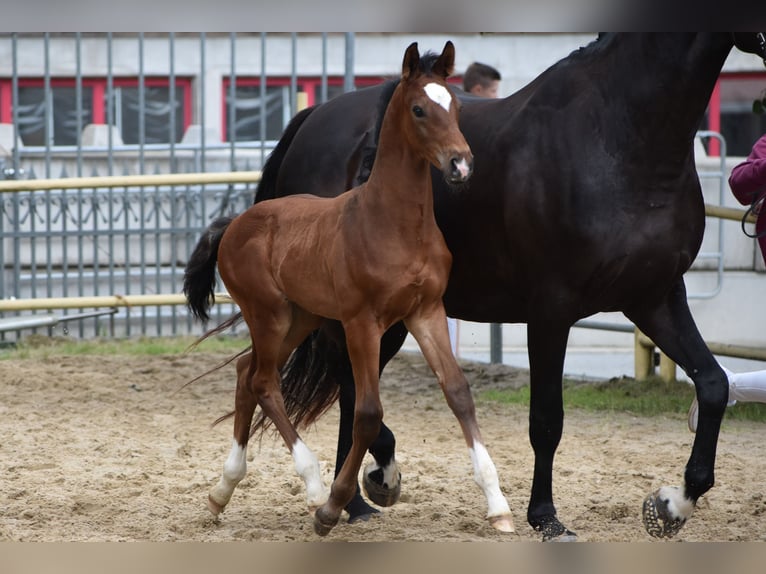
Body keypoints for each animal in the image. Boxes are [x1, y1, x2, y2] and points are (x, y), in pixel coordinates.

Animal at [184, 41, 516, 540]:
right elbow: (367, 412)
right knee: (263, 381)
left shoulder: (426, 311)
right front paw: (334, 506)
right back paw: (313, 487)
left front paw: (498, 505)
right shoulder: (363, 322)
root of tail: (234, 225)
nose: (461, 164)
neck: (393, 222)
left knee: (246, 373)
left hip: (299, 317)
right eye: (419, 109)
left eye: (456, 107)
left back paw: (222, 491)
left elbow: (458, 392)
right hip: (269, 315)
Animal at [244, 33, 766, 544]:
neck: (619, 137)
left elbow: (714, 385)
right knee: (351, 389)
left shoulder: (656, 298)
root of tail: (311, 119)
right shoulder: (552, 309)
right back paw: (369, 485)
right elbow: (547, 419)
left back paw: (354, 503)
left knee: (352, 391)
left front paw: (672, 504)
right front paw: (545, 517)